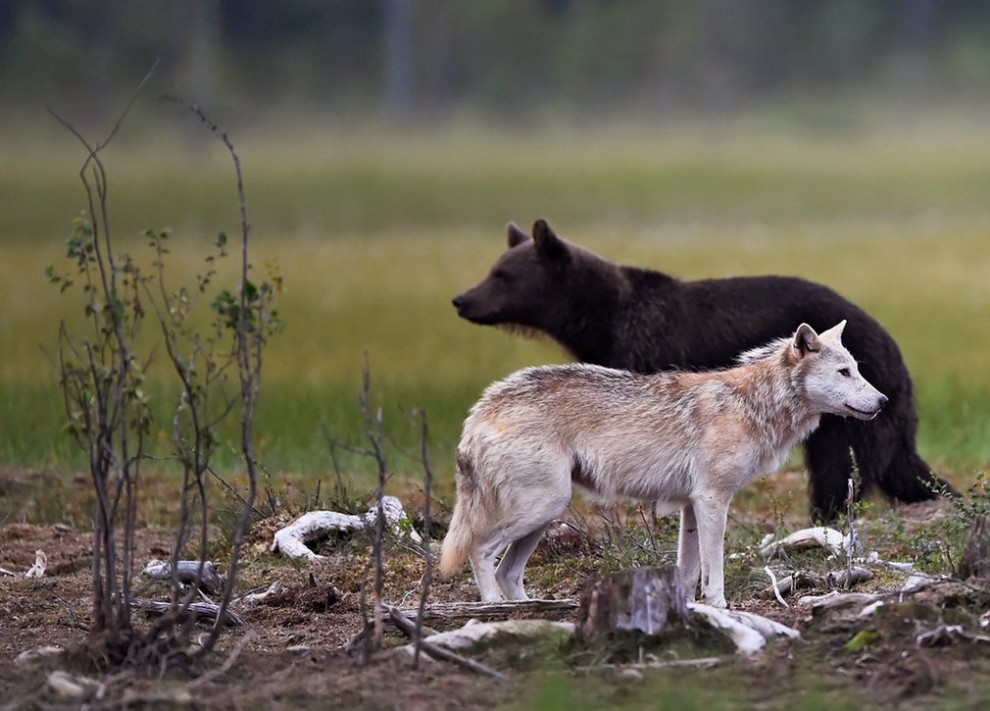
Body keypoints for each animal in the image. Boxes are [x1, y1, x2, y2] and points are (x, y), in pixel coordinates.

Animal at [442, 322, 892, 608]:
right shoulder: (712, 501)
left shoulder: (690, 507)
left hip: (545, 513)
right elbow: (713, 569)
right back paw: (491, 609)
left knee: (508, 572)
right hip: (543, 507)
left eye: (857, 371)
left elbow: (687, 571)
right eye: (844, 371)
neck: (752, 406)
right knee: (480, 550)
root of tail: (481, 410)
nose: (884, 400)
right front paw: (720, 606)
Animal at [452, 220, 952, 520]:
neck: (602, 320)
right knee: (893, 464)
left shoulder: (648, 347)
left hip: (852, 412)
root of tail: (890, 344)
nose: (462, 299)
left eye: (502, 275)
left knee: (842, 467)